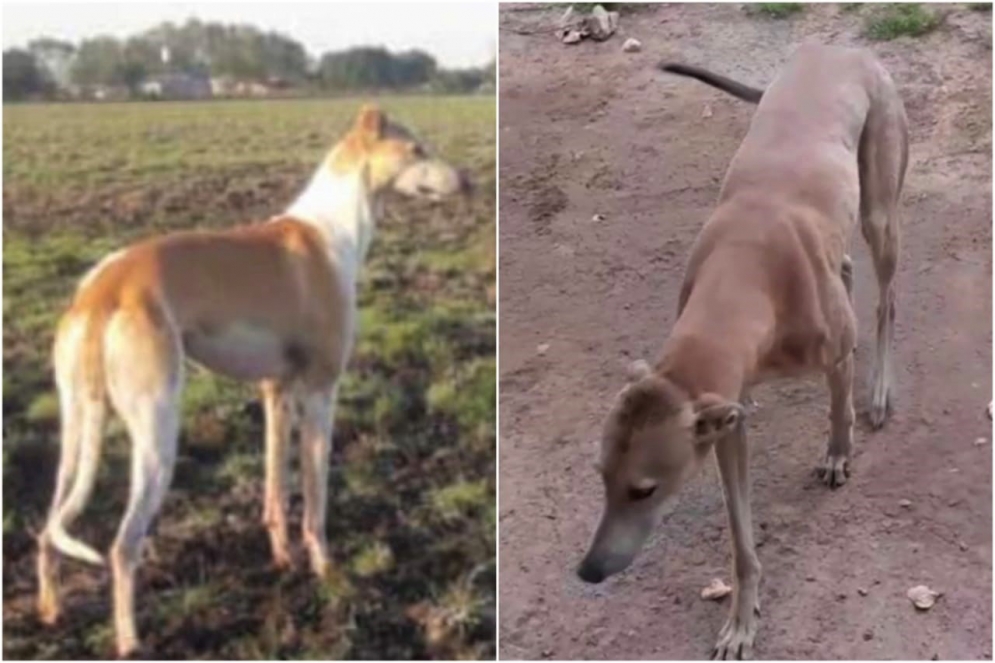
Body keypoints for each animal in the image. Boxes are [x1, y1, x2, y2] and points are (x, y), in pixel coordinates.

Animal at [37, 106, 472, 656]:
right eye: (416, 149)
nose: (468, 181)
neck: (333, 229)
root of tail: (103, 290)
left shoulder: (276, 393)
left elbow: (274, 489)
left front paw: (283, 559)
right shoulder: (320, 393)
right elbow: (314, 499)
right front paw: (325, 570)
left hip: (75, 431)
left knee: (47, 530)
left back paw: (50, 610)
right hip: (157, 435)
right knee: (122, 546)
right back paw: (131, 640)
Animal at [576, 44, 912, 660]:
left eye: (645, 489)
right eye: (600, 475)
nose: (588, 572)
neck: (745, 269)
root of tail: (841, 47)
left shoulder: (829, 356)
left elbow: (838, 406)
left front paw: (838, 452)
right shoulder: (727, 421)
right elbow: (739, 532)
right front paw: (741, 617)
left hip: (880, 207)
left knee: (885, 301)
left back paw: (878, 392)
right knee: (848, 269)